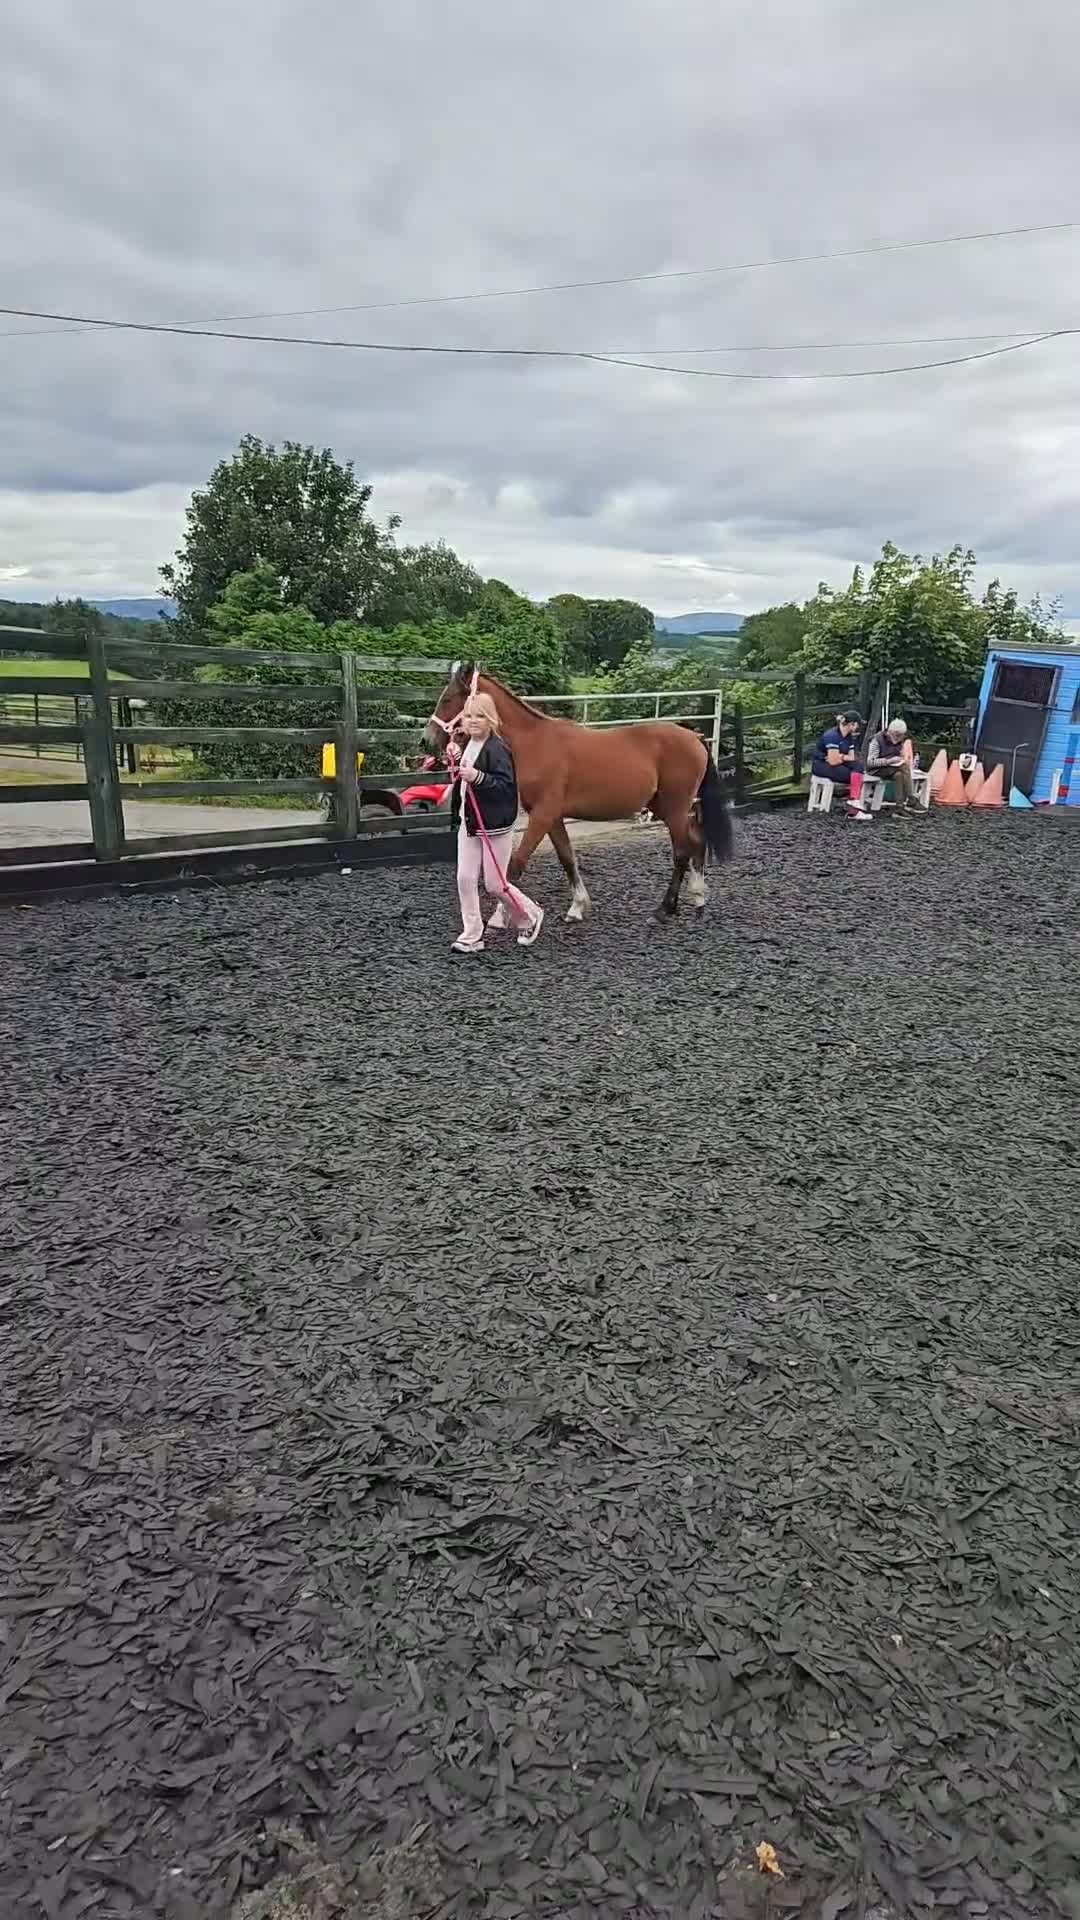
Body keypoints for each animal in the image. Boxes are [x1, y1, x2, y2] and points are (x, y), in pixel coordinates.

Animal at [428, 661, 734, 923]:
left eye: (448, 699)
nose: (427, 739)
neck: (534, 743)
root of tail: (695, 737)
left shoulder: (542, 814)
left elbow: (515, 865)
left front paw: (504, 917)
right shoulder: (552, 817)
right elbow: (567, 858)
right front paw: (577, 907)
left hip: (675, 807)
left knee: (682, 851)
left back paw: (664, 909)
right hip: (665, 807)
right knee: (696, 842)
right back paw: (698, 901)